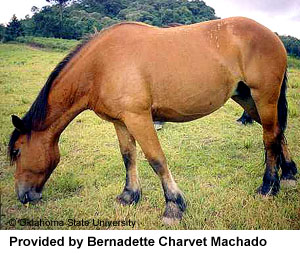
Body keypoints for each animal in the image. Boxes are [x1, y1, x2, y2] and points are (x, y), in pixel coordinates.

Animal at [7, 16, 298, 224]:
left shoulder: (139, 118)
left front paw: (173, 206)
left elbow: (156, 159)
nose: (23, 196)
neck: (101, 65)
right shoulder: (121, 121)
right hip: (247, 98)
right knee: (277, 132)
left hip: (264, 96)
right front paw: (129, 196)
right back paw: (288, 174)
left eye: (18, 151)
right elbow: (128, 157)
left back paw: (268, 187)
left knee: (270, 136)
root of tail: (271, 34)